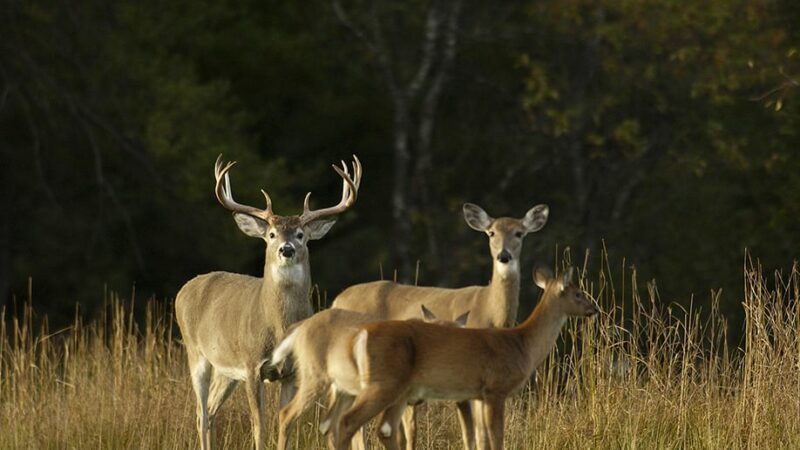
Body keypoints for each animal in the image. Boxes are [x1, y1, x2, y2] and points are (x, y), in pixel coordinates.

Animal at [177, 155, 364, 450]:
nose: (286, 250)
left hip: (226, 370)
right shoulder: (252, 365)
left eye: (300, 235)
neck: (279, 328)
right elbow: (259, 426)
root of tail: (184, 289)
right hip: (196, 354)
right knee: (201, 413)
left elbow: (285, 425)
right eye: (272, 234)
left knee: (212, 409)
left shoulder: (292, 373)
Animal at [270, 302, 468, 450]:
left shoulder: (408, 400)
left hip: (344, 389)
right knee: (287, 414)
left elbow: (409, 434)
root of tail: (300, 328)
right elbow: (402, 435)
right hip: (314, 376)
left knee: (330, 426)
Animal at [328, 268, 596, 450]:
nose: (594, 308)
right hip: (384, 384)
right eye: (578, 293)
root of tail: (359, 336)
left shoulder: (477, 394)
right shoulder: (495, 389)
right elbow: (496, 437)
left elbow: (479, 437)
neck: (521, 344)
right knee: (349, 422)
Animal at [332, 203, 552, 450]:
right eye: (491, 233)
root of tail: (336, 301)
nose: (504, 256)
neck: (489, 309)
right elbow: (478, 433)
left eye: (519, 233)